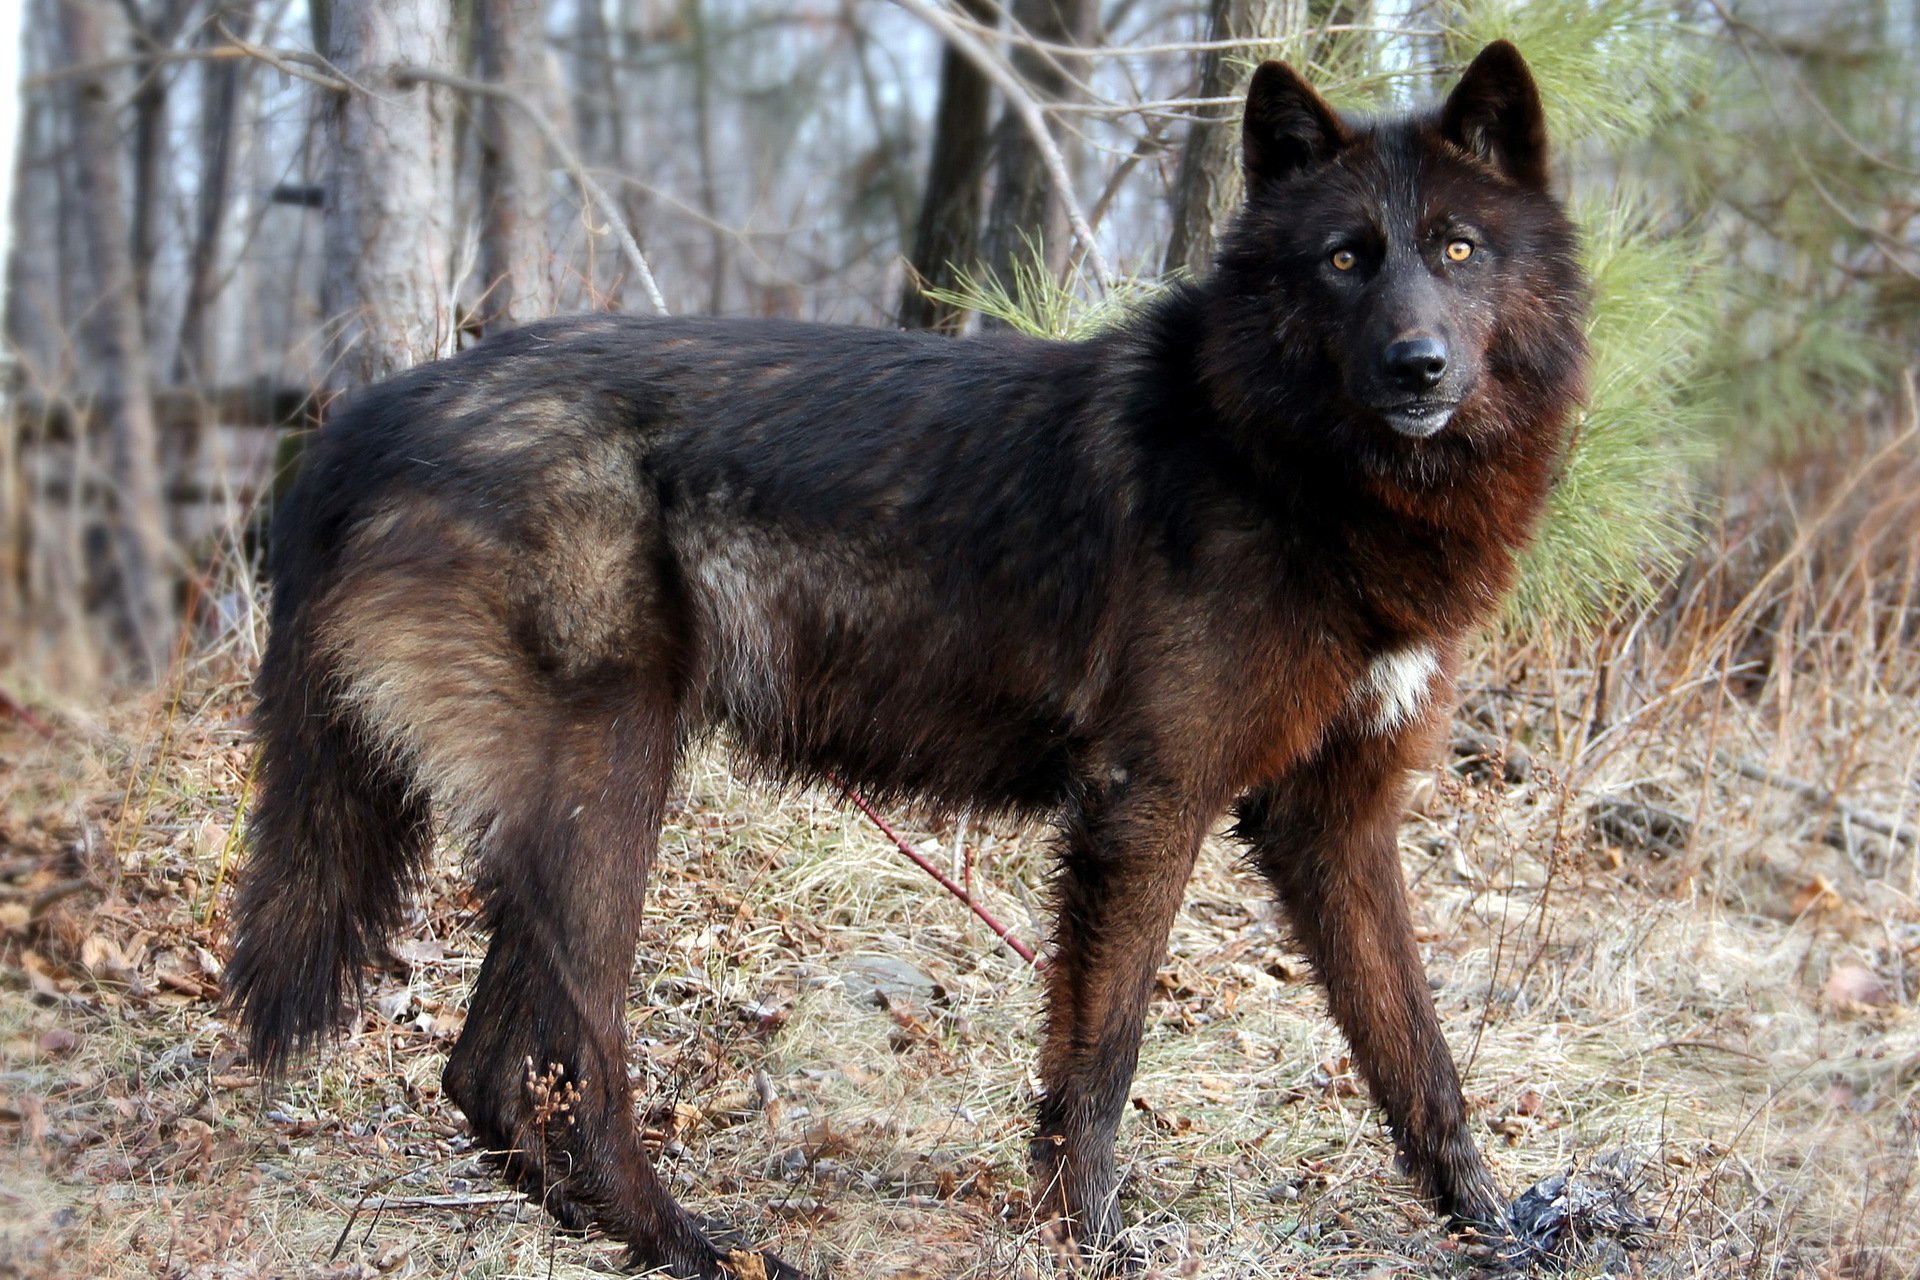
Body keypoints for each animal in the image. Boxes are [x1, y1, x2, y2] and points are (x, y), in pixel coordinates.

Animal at [225, 41, 1585, 1278]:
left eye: (1458, 250)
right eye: (1346, 258)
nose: (1418, 365)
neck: (1286, 459)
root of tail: (369, 416)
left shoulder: (1334, 821)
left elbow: (1418, 1053)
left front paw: (1498, 1224)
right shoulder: (1147, 802)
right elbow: (1102, 1057)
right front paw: (1088, 1240)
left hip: (578, 801)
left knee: (485, 1072)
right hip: (610, 785)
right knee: (546, 1060)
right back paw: (698, 1247)